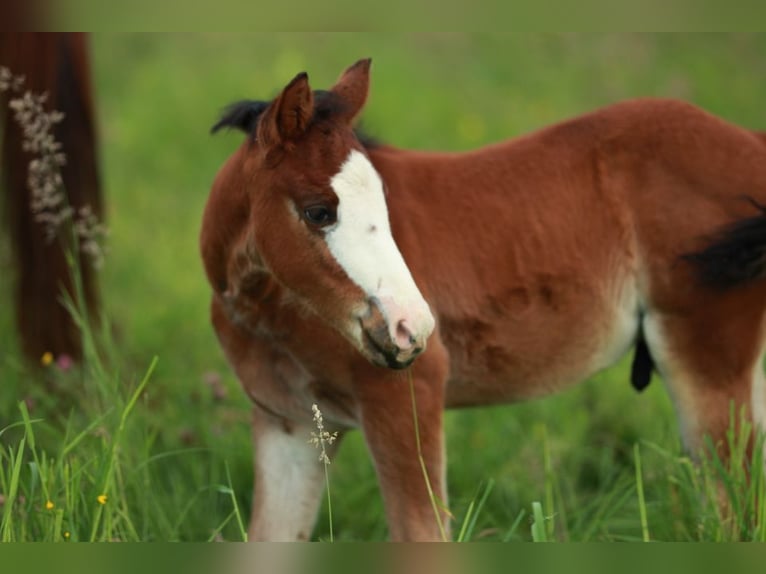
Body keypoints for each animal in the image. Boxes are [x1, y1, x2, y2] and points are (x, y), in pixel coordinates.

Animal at [201, 60, 766, 544]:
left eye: (385, 204)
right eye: (319, 211)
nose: (412, 328)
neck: (270, 314)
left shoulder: (406, 401)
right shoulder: (289, 425)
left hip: (708, 367)